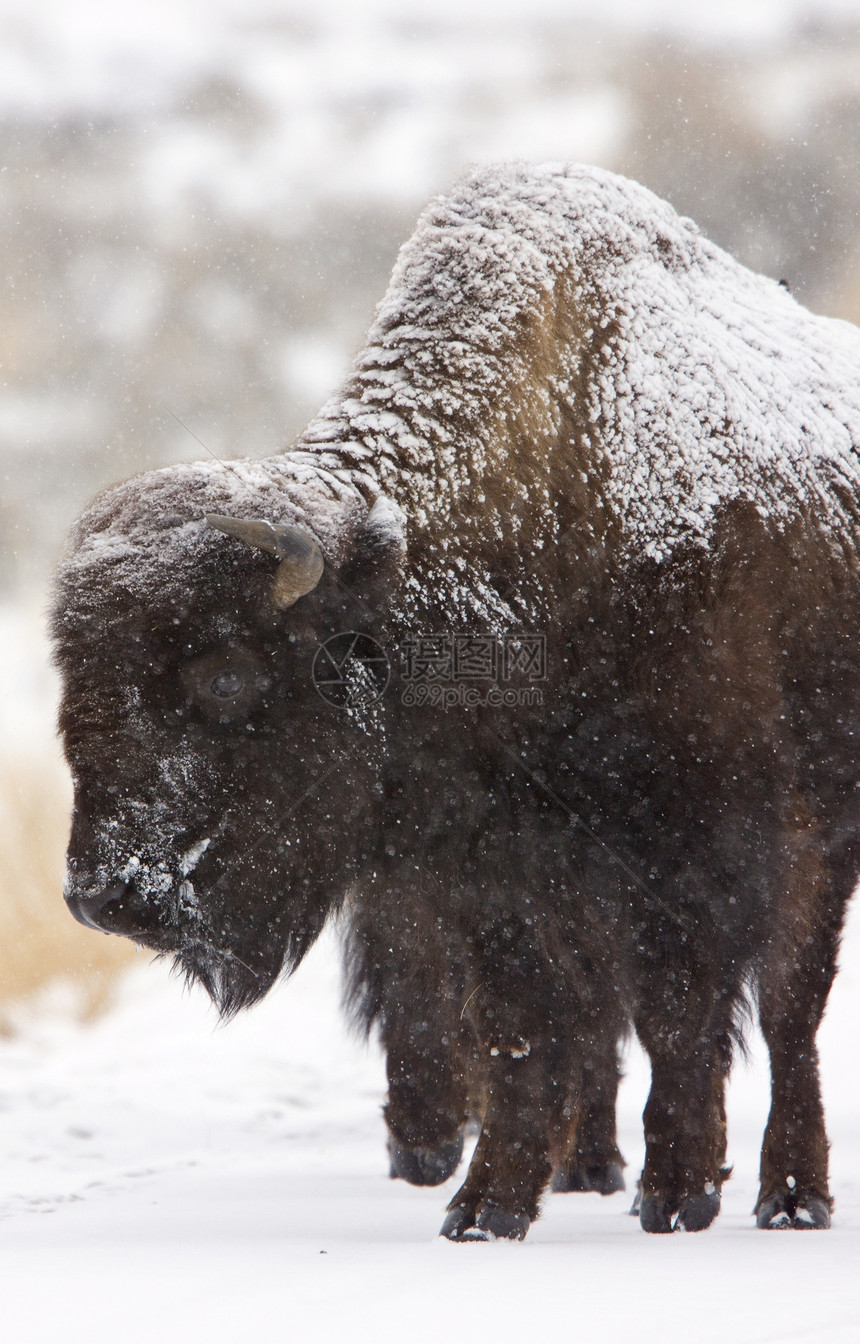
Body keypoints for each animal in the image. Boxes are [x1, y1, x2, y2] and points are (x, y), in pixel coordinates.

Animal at [53, 165, 860, 1236]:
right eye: (76, 684)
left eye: (226, 674)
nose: (106, 895)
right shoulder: (484, 878)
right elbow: (525, 1027)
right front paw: (488, 1210)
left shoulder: (689, 843)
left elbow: (678, 1013)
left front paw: (676, 1191)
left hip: (823, 836)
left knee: (791, 1013)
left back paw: (790, 1197)